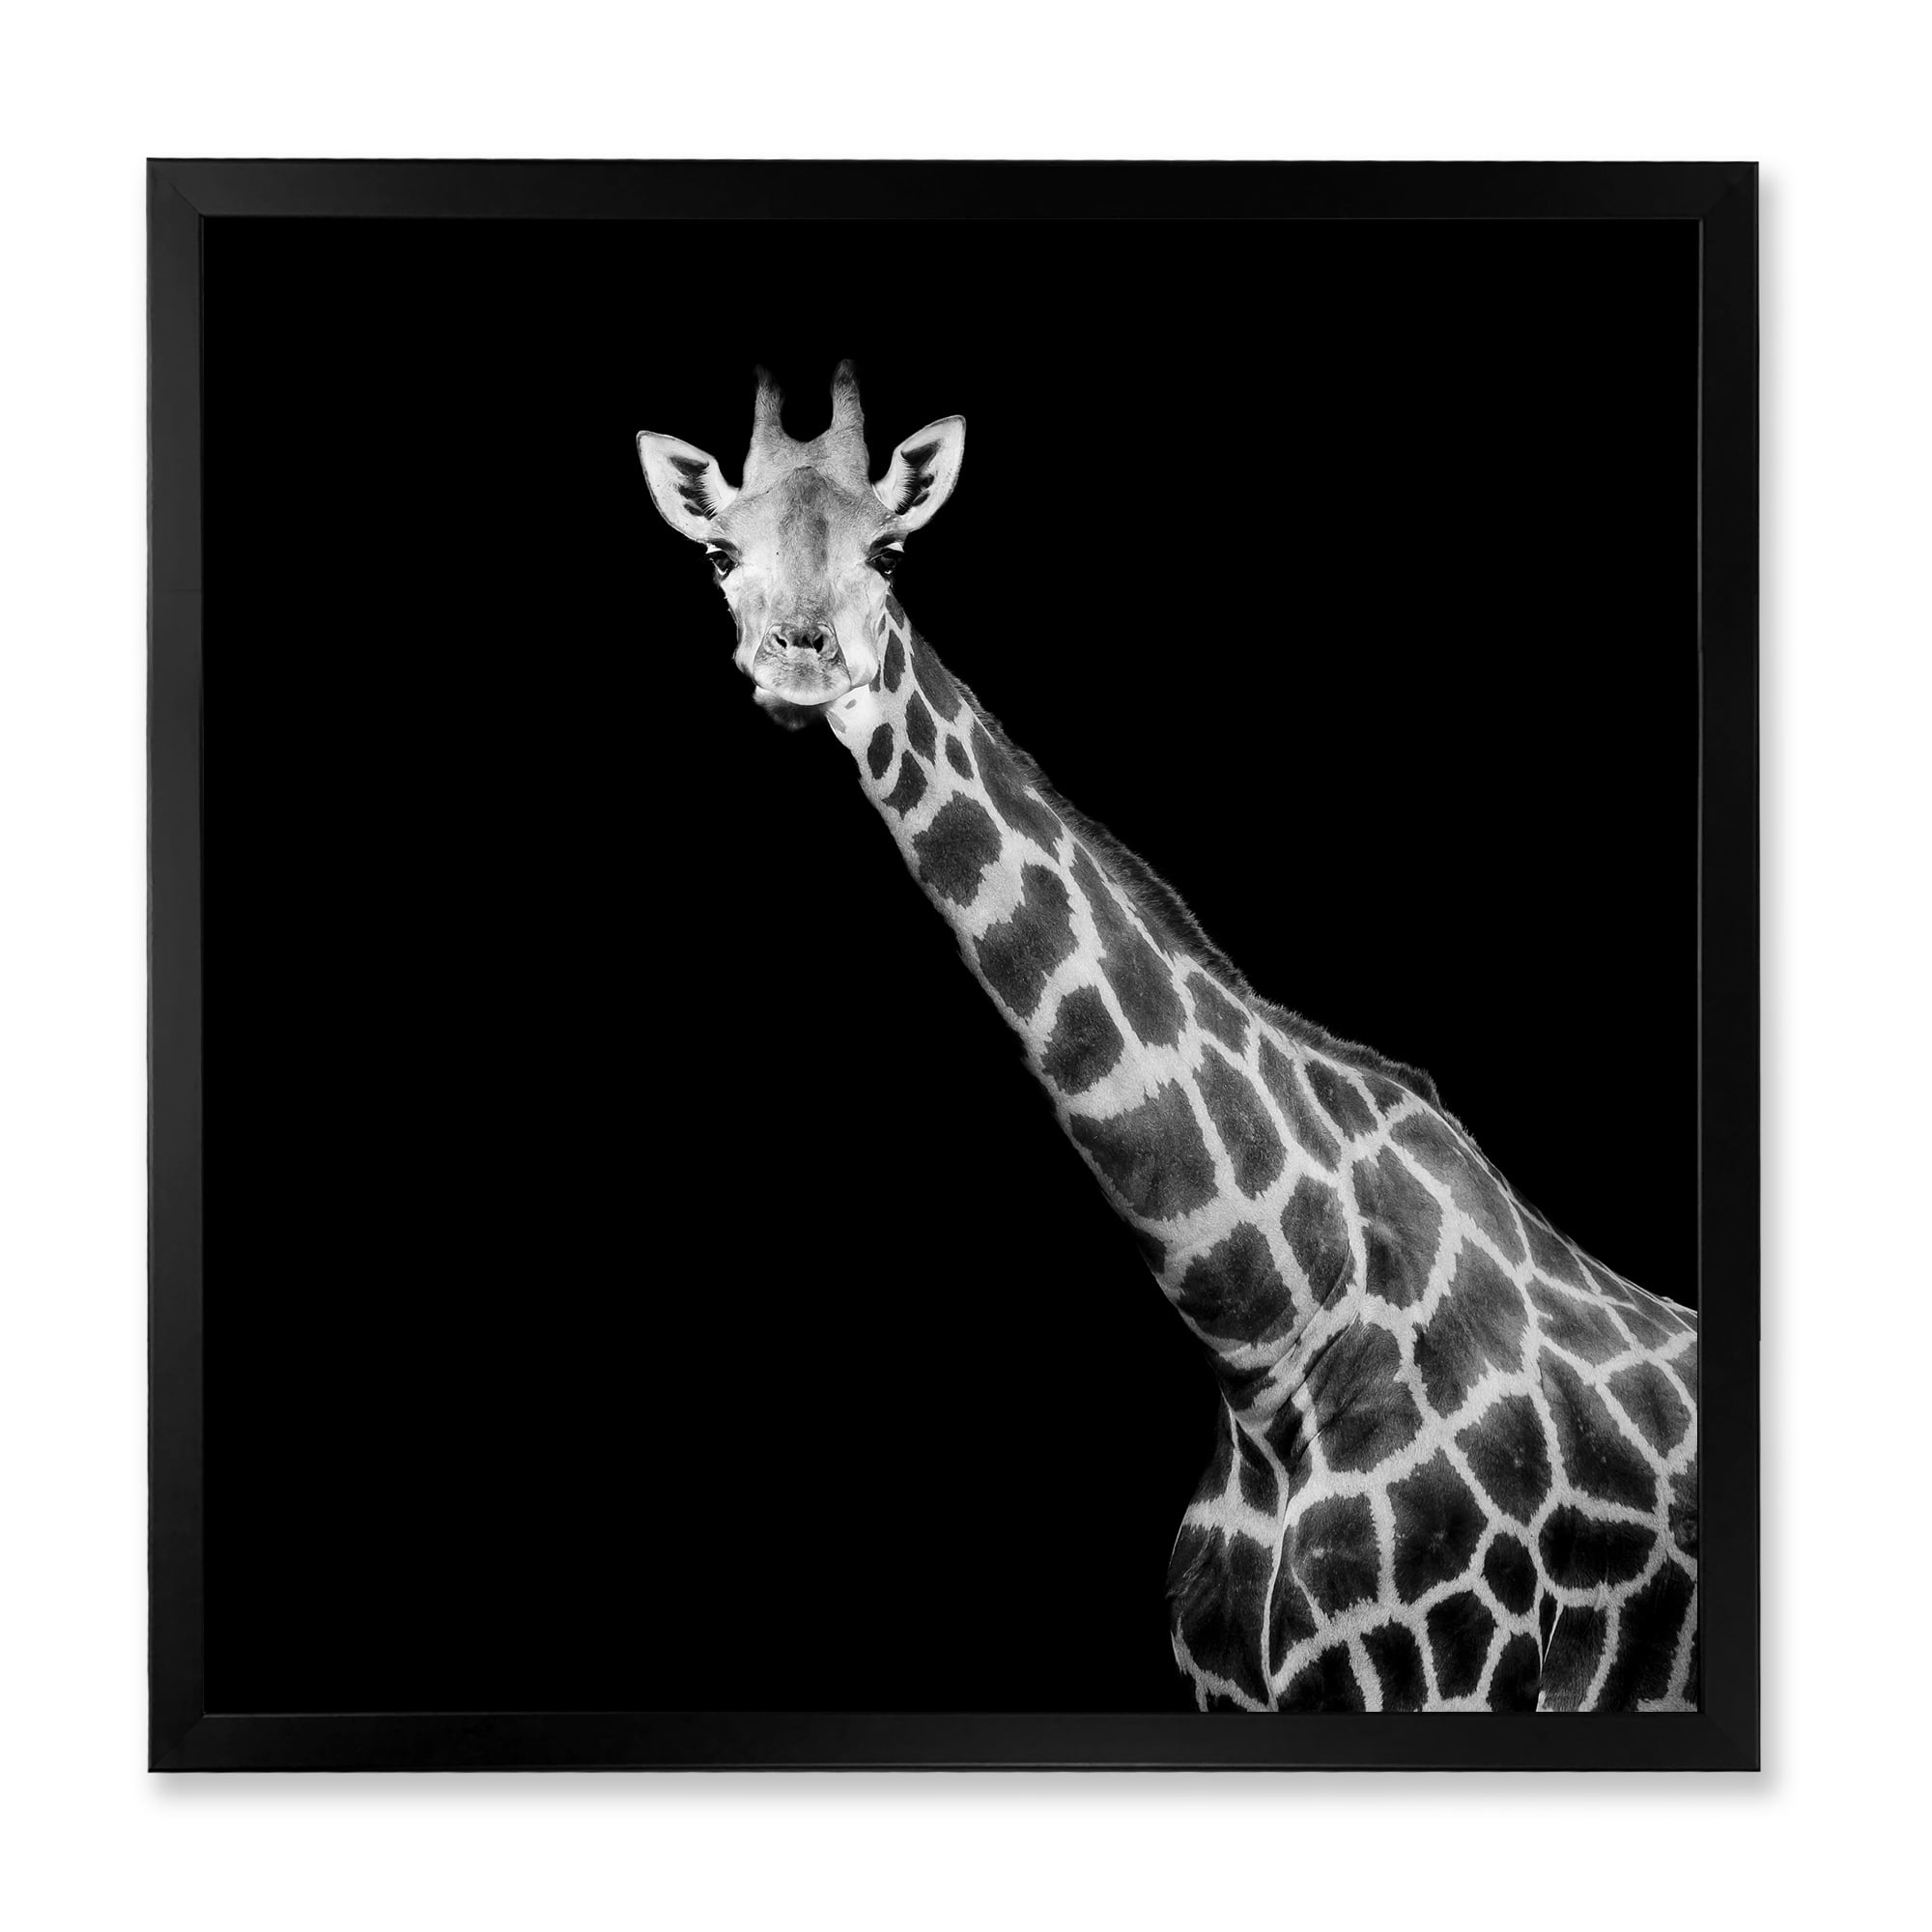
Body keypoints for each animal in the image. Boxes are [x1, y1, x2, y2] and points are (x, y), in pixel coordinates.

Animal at [636, 363, 1700, 1713]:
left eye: (890, 549)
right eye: (720, 551)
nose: (801, 660)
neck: (1268, 1338)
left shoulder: (1463, 1675)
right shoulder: (1226, 1685)